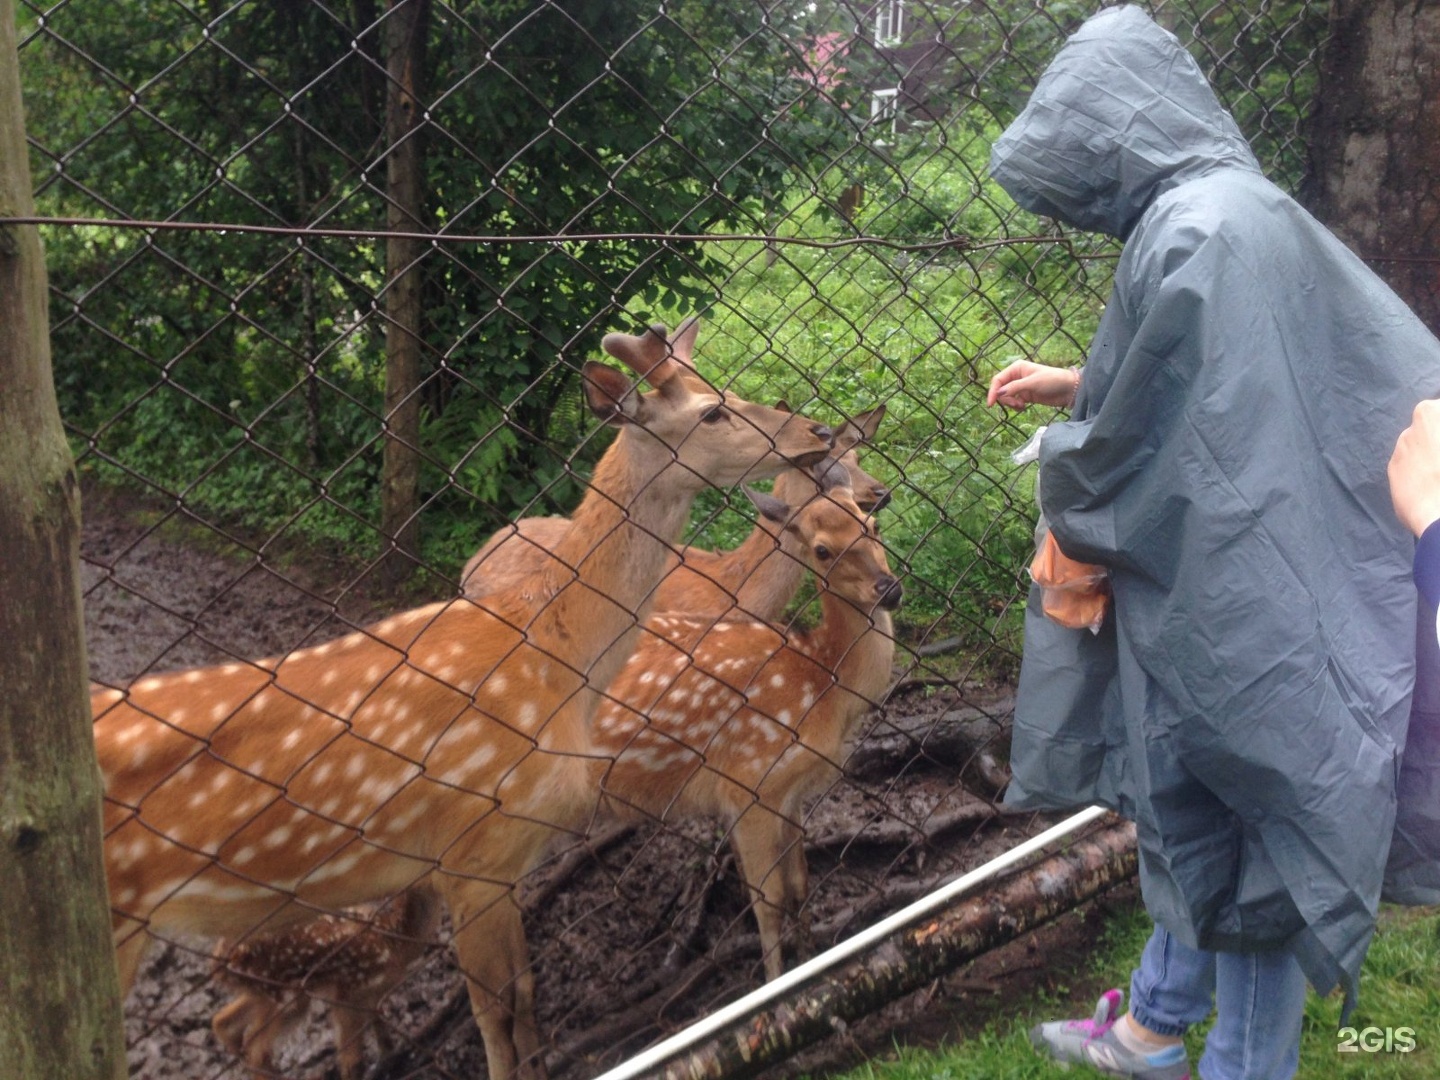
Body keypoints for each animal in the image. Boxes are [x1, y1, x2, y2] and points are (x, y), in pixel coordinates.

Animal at [210, 887, 437, 1080]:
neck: (394, 938)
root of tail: (221, 963)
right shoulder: (350, 993)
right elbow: (352, 1061)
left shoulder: (372, 994)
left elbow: (379, 1024)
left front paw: (390, 1056)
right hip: (287, 994)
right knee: (255, 1050)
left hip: (265, 993)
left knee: (223, 1022)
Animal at [590, 472, 892, 979]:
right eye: (822, 549)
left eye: (870, 524)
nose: (889, 588)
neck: (821, 682)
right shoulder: (747, 783)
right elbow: (767, 903)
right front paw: (779, 983)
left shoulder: (789, 794)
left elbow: (800, 881)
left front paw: (812, 955)